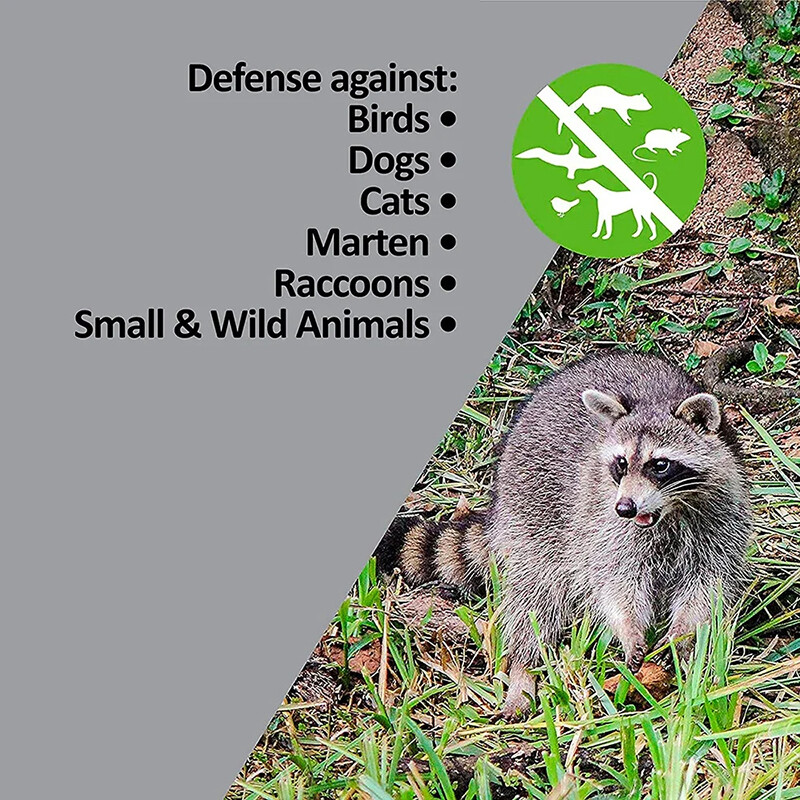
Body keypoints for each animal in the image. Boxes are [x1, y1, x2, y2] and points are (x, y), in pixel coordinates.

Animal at [374, 350, 753, 717]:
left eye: (660, 465)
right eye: (621, 464)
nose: (625, 507)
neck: (668, 513)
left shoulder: (720, 520)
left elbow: (708, 584)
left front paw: (682, 633)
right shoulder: (603, 525)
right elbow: (614, 583)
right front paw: (629, 628)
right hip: (530, 519)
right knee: (534, 600)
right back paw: (523, 670)